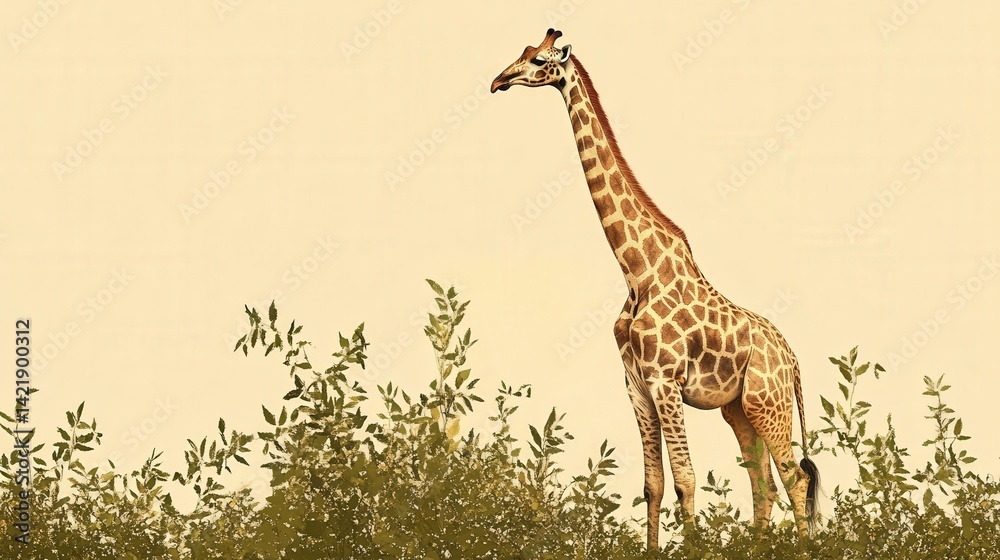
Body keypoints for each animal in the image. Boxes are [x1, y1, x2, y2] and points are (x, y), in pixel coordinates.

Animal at [490, 29, 819, 549]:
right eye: (522, 53)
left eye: (539, 61)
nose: (498, 81)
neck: (636, 271)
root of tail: (793, 359)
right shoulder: (636, 385)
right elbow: (654, 484)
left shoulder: (666, 380)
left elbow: (685, 478)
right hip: (739, 409)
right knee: (763, 481)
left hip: (768, 402)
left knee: (795, 478)